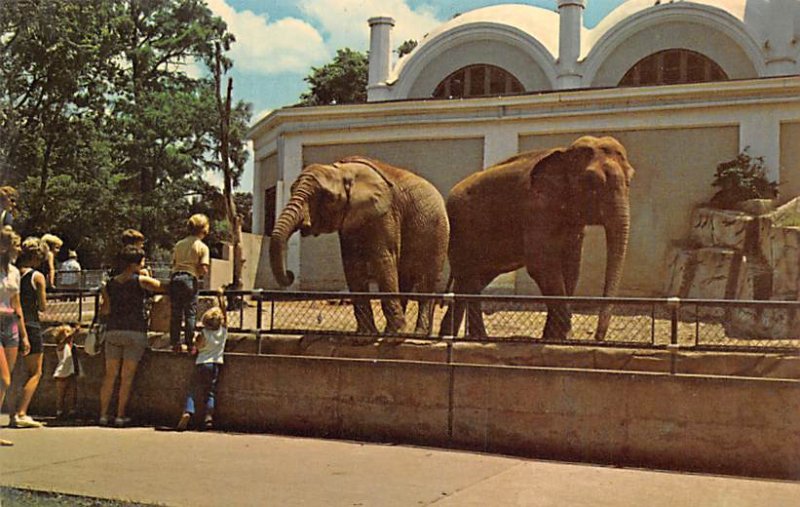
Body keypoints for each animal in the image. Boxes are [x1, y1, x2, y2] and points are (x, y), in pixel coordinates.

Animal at [270, 157, 450, 336]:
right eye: (292, 190)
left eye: (329, 197)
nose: (290, 274)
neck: (343, 171)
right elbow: (352, 264)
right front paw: (366, 334)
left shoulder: (385, 213)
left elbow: (383, 259)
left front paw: (393, 334)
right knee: (404, 278)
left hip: (438, 231)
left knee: (426, 280)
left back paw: (418, 334)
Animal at [440, 135, 636, 342]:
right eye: (592, 181)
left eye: (631, 178)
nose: (598, 337)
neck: (564, 153)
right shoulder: (536, 207)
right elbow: (541, 265)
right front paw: (563, 337)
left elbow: (571, 268)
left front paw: (553, 338)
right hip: (461, 230)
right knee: (469, 279)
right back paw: (474, 338)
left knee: (472, 280)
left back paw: (451, 335)